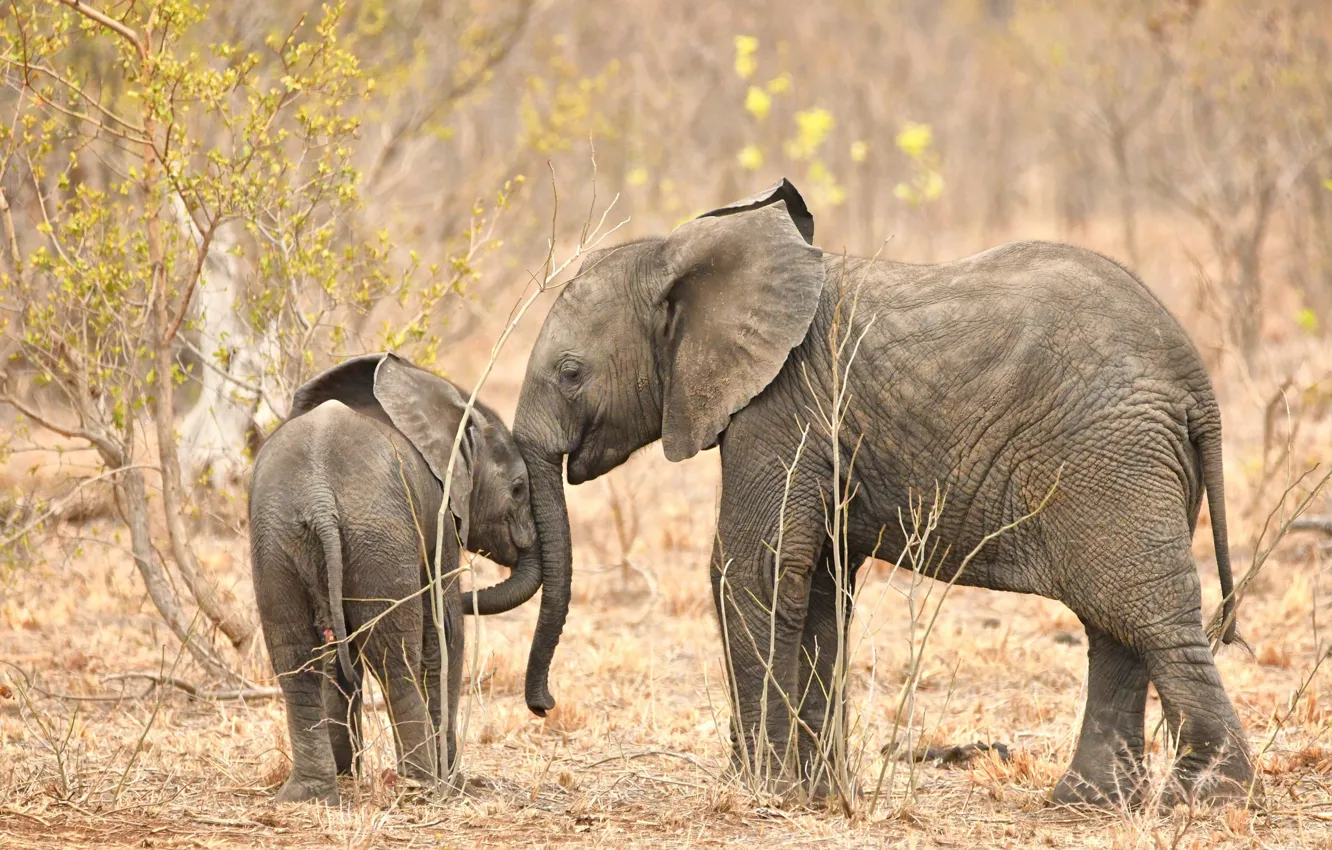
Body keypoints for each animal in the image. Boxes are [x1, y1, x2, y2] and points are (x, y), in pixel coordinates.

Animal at [249, 352, 541, 804]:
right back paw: (422, 785)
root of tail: (318, 498)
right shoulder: (439, 516)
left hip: (277, 539)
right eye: (518, 489)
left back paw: (310, 795)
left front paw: (346, 772)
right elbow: (445, 629)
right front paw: (454, 781)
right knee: (393, 656)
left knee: (295, 658)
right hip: (377, 536)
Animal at [510, 178, 1257, 808]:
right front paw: (813, 794)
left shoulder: (781, 408)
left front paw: (763, 791)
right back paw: (1087, 803)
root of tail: (1197, 381)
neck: (682, 254)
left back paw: (1206, 799)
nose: (544, 705)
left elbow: (751, 569)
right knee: (1115, 625)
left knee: (1146, 614)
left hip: (1112, 459)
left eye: (571, 373)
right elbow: (815, 585)